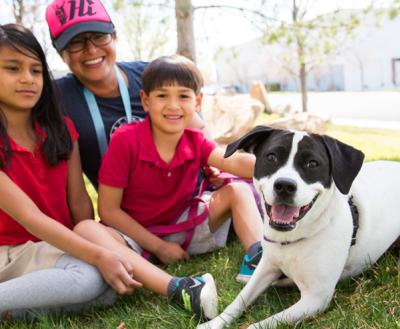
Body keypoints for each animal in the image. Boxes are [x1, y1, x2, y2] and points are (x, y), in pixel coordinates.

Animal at [198, 125, 400, 328]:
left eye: (312, 163)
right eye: (271, 157)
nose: (284, 186)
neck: (292, 239)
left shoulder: (315, 299)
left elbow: (261, 323)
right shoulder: (266, 266)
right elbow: (239, 300)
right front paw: (214, 323)